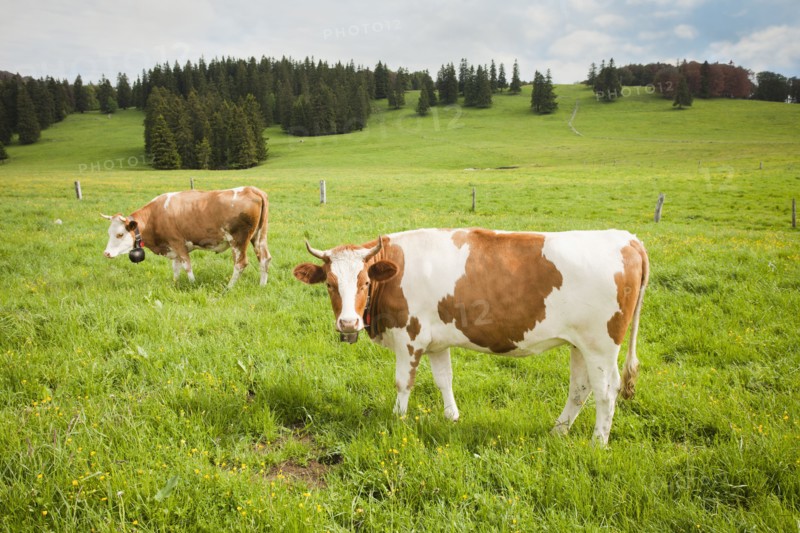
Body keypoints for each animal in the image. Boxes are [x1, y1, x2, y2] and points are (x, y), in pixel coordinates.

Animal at [102, 186, 272, 287]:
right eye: (109, 233)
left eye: (120, 234)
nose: (106, 253)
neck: (155, 216)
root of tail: (252, 189)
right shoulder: (172, 248)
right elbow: (176, 267)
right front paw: (175, 283)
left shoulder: (178, 243)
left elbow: (187, 266)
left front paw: (192, 284)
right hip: (259, 236)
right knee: (264, 258)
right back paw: (262, 285)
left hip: (238, 240)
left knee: (240, 263)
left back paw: (229, 288)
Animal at [293, 228, 649, 445]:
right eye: (330, 284)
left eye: (365, 282)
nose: (348, 323)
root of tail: (628, 238)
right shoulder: (435, 341)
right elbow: (444, 379)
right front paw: (452, 417)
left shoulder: (409, 338)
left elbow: (403, 383)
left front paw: (397, 419)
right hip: (580, 344)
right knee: (580, 390)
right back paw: (558, 431)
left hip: (601, 345)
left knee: (606, 391)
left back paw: (597, 443)